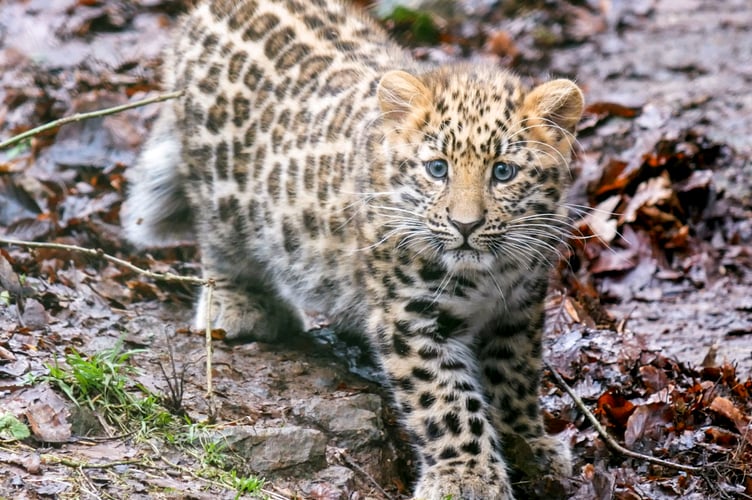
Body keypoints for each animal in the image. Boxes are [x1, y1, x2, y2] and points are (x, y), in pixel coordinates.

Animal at [122, 0, 584, 498]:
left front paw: (530, 445)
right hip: (219, 190)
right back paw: (240, 305)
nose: (465, 225)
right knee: (219, 242)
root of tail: (202, 13)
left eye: (503, 172)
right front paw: (465, 477)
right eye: (437, 168)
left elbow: (514, 377)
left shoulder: (519, 310)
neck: (488, 274)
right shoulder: (410, 318)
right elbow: (446, 402)